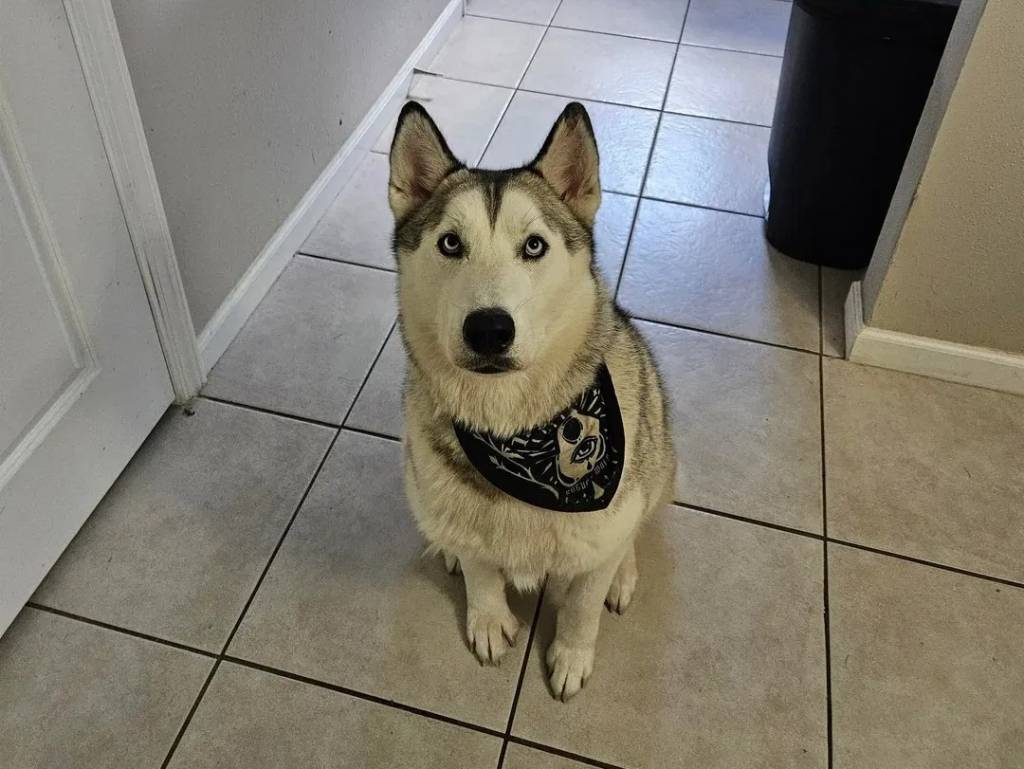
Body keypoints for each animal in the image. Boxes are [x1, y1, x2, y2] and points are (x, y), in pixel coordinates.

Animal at [387, 100, 676, 701]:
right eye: (450, 243)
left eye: (535, 245)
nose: (489, 329)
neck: (513, 428)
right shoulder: (464, 519)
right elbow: (480, 569)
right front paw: (488, 617)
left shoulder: (600, 527)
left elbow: (583, 605)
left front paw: (571, 654)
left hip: (659, 449)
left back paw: (624, 571)